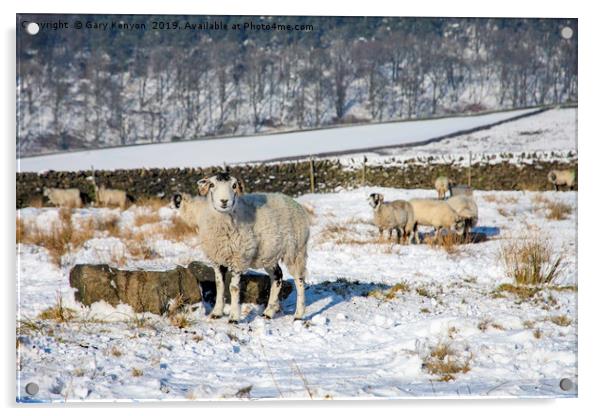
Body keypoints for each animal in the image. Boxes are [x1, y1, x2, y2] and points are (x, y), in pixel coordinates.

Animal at [196, 171, 312, 322]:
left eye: (234, 185)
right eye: (212, 185)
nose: (224, 201)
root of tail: (294, 202)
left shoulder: (239, 258)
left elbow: (233, 288)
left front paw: (233, 317)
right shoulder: (217, 259)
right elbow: (219, 286)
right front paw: (216, 313)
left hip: (296, 251)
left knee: (299, 280)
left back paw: (298, 314)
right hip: (269, 254)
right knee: (278, 276)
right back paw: (268, 312)